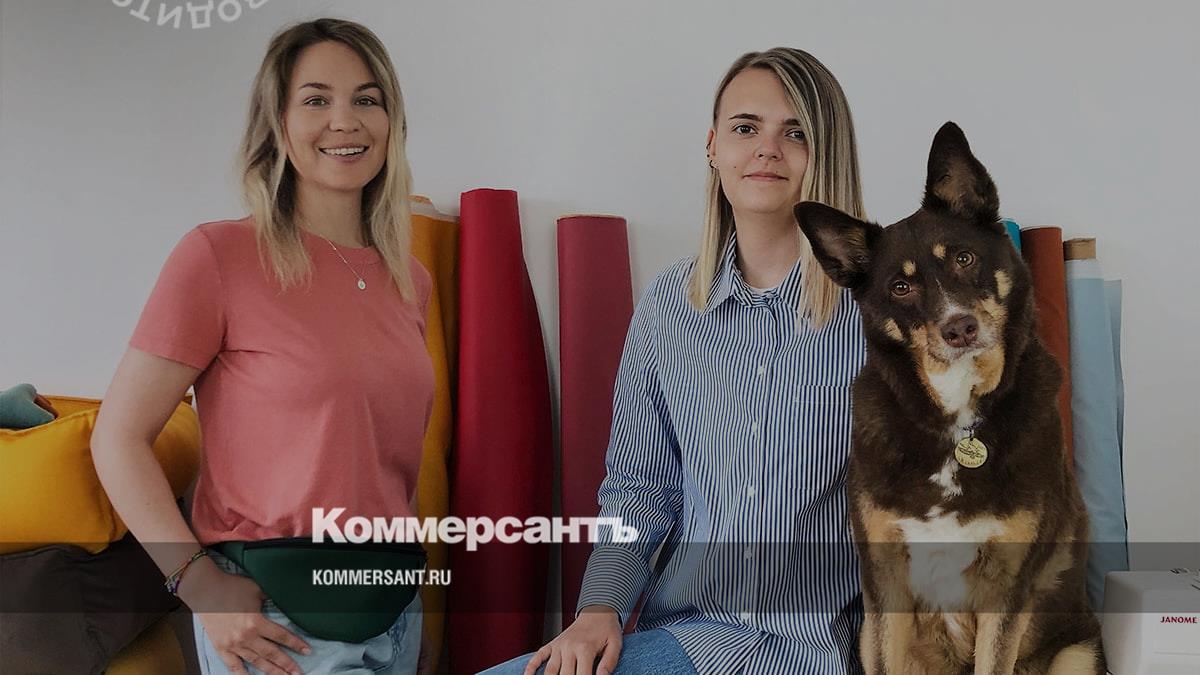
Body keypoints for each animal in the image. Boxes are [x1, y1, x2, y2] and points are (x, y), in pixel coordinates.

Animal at [795, 122, 1104, 674]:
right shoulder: (885, 579)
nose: (959, 328)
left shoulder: (1007, 584)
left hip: (1078, 651)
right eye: (900, 287)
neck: (958, 418)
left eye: (964, 257)